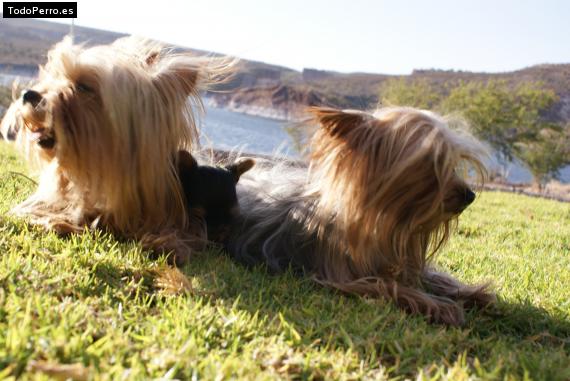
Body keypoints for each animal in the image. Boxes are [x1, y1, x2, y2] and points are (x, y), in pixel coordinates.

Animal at [226, 107, 492, 324]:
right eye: (431, 162)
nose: (470, 195)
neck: (387, 220)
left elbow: (433, 276)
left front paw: (471, 293)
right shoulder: (342, 276)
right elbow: (389, 286)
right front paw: (441, 307)